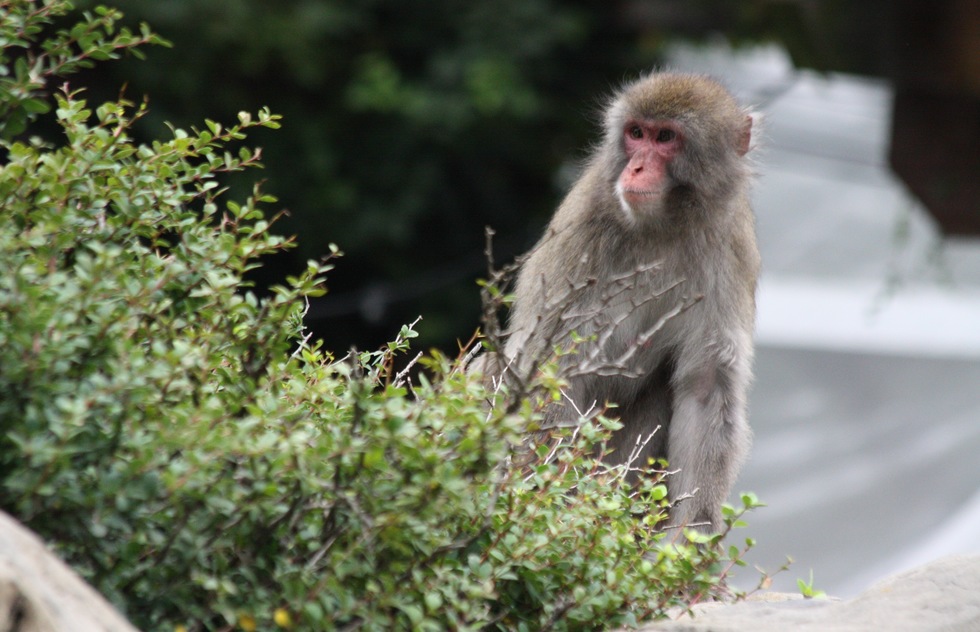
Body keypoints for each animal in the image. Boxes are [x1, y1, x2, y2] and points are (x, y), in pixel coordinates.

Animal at [490, 71, 756, 536]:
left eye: (665, 137)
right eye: (636, 134)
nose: (636, 168)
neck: (663, 227)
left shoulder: (730, 248)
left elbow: (706, 387)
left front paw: (689, 541)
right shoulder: (581, 238)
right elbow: (552, 368)